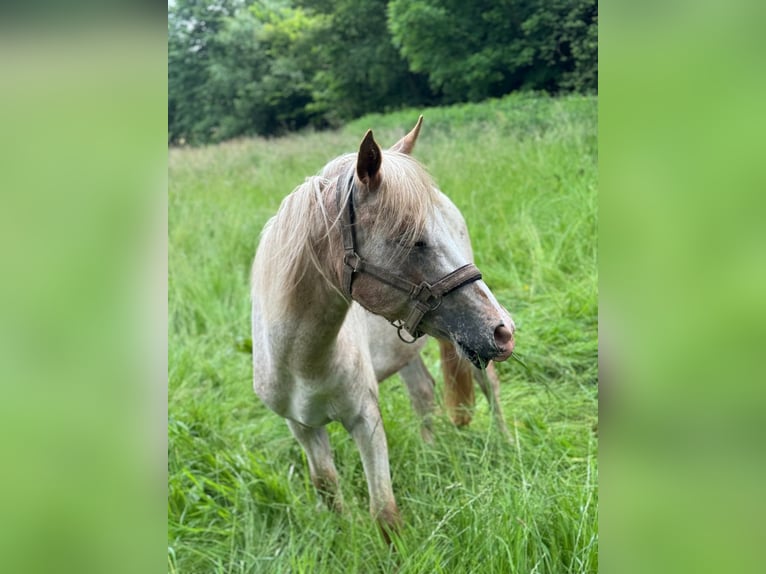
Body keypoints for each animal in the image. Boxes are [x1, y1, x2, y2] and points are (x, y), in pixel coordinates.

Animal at [252, 119, 516, 544]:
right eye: (413, 240)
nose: (503, 331)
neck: (302, 360)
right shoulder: (302, 428)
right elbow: (328, 489)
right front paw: (343, 538)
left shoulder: (366, 422)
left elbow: (385, 513)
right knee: (423, 393)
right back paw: (430, 450)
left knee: (488, 386)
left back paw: (507, 445)